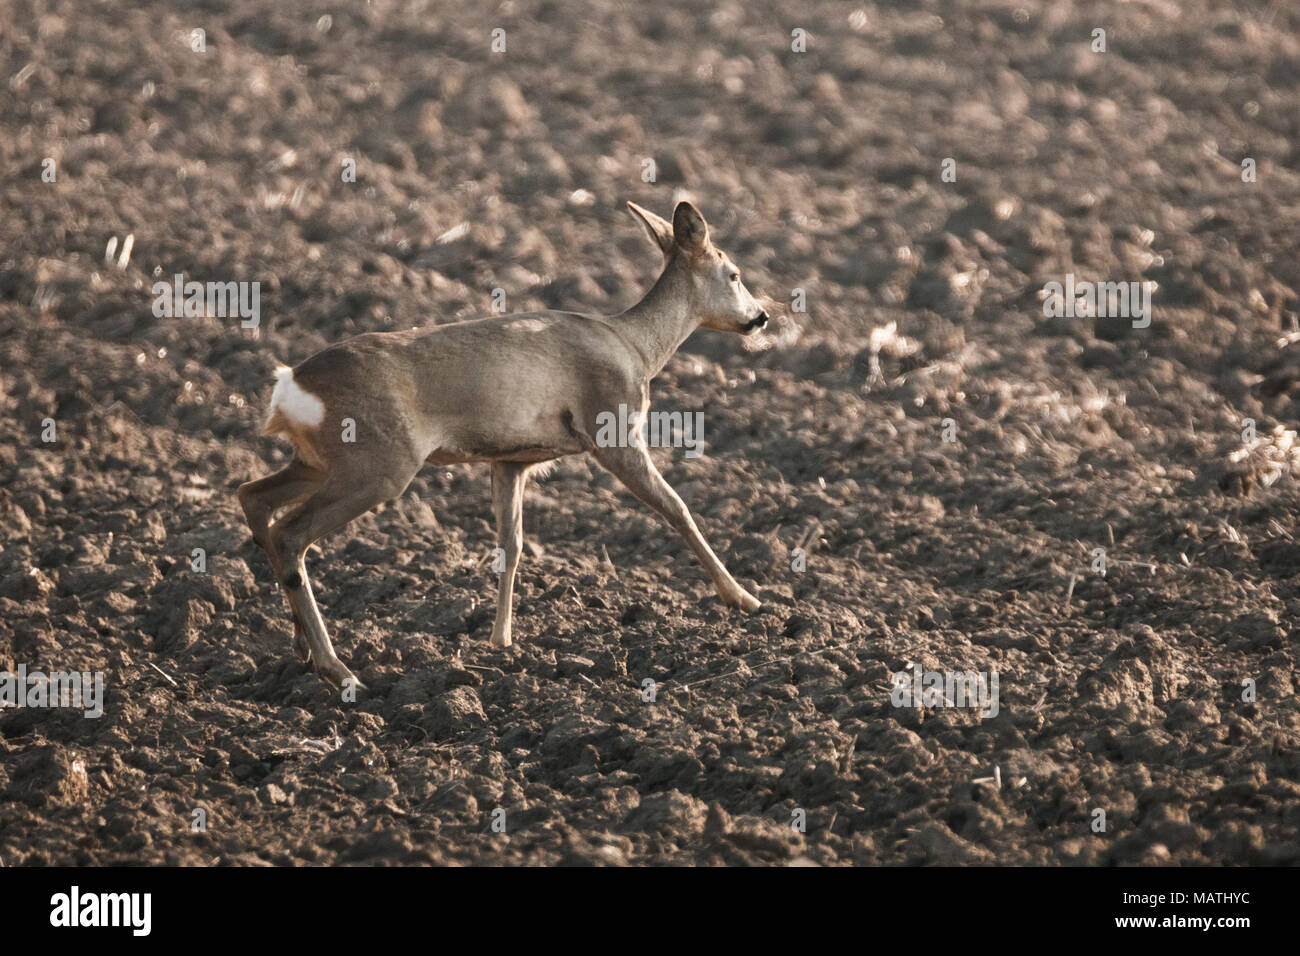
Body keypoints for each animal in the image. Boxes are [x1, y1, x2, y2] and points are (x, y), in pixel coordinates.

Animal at [238, 200, 770, 690]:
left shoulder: (510, 459)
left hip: (321, 461)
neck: (636, 347)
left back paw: (301, 648)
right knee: (290, 532)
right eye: (734, 274)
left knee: (252, 497)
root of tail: (288, 385)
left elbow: (510, 545)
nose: (762, 316)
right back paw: (338, 668)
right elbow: (677, 507)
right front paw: (745, 599)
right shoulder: (612, 428)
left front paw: (501, 640)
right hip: (378, 465)